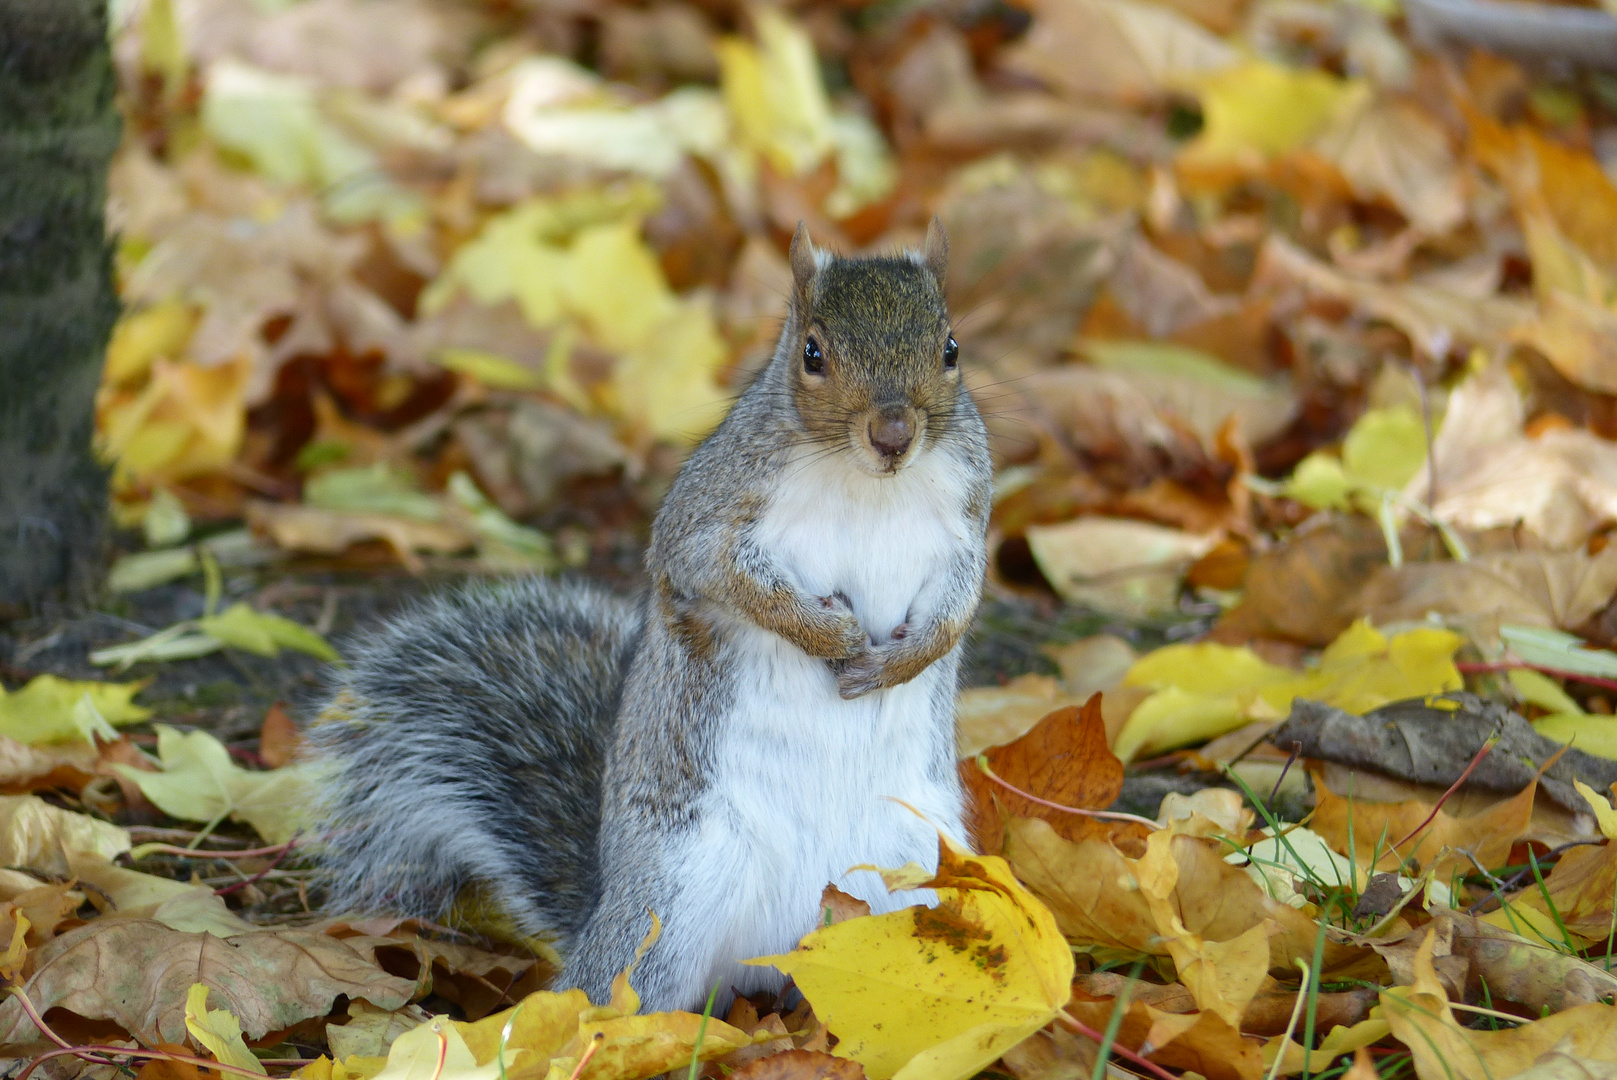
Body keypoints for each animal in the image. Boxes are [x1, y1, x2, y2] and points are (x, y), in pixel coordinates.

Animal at [300, 219, 983, 1015]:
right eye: (812, 353)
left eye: (951, 348)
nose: (893, 433)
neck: (867, 481)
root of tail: (780, 952)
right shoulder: (708, 517)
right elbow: (721, 577)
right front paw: (826, 634)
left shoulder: (968, 517)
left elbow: (960, 602)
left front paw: (905, 658)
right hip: (671, 899)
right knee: (610, 994)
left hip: (926, 879)